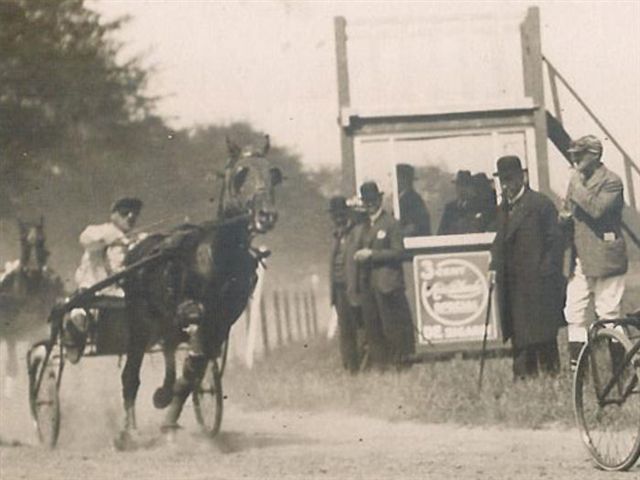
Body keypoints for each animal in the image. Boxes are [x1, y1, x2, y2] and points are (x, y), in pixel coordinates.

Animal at [0, 219, 64, 390]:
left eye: (42, 240)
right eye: (23, 240)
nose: (33, 270)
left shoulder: (35, 332)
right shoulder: (11, 334)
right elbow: (12, 370)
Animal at [117, 135, 282, 443]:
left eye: (273, 173)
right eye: (241, 173)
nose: (266, 215)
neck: (221, 255)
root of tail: (138, 251)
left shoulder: (222, 320)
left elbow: (197, 363)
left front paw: (173, 415)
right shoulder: (195, 312)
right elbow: (194, 357)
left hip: (165, 321)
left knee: (170, 350)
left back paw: (163, 393)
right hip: (140, 321)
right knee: (130, 375)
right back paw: (129, 431)